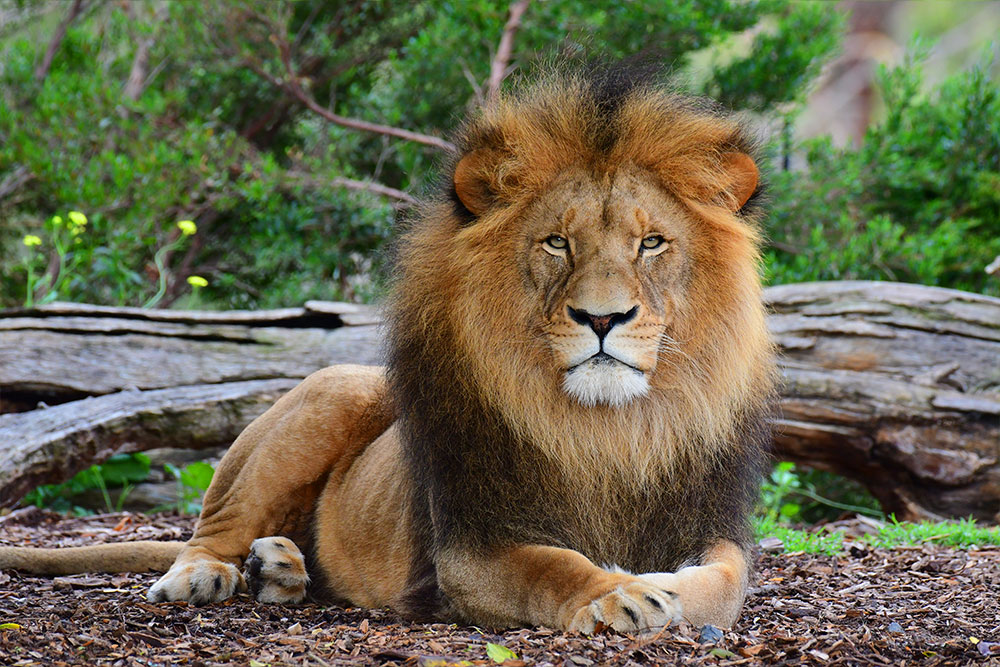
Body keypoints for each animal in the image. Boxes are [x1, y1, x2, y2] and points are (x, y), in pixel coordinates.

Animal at [0, 67, 775, 633]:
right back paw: (204, 575)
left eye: (652, 242)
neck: (611, 430)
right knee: (212, 526)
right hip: (332, 392)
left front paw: (659, 581)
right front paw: (619, 593)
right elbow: (553, 565)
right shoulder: (468, 545)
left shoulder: (712, 522)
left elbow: (725, 582)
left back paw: (279, 568)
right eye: (557, 241)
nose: (603, 317)